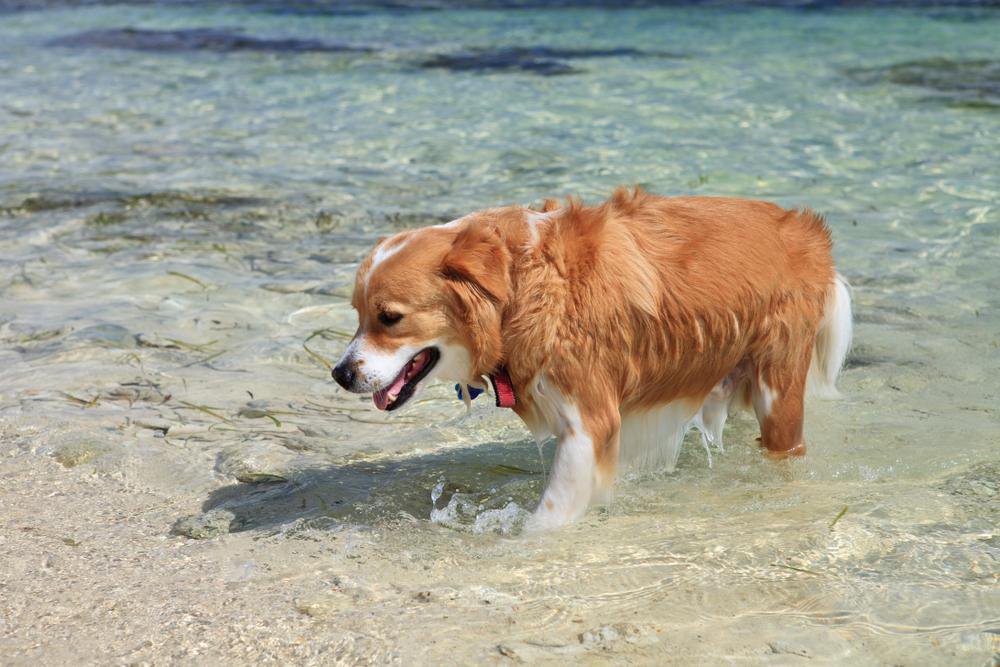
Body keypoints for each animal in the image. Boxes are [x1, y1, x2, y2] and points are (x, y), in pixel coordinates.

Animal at [334, 188, 852, 532]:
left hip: (777, 393)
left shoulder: (590, 422)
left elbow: (547, 517)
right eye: (357, 315)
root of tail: (806, 228)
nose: (340, 374)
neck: (521, 287)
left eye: (390, 318)